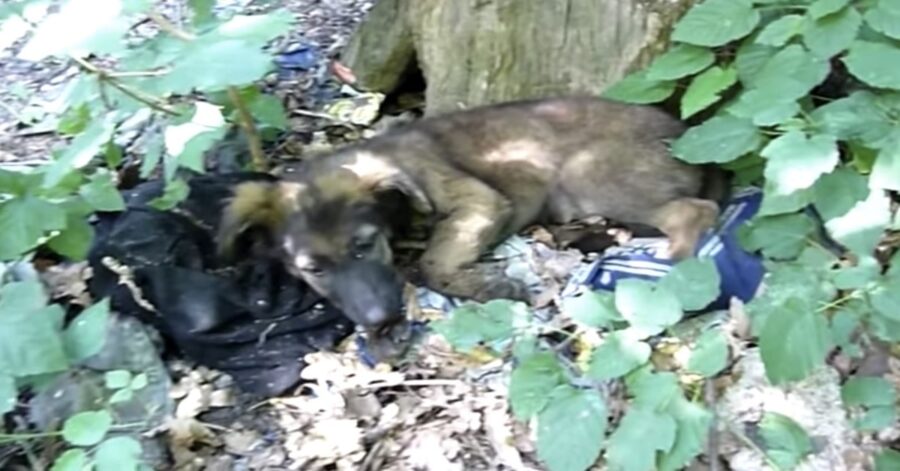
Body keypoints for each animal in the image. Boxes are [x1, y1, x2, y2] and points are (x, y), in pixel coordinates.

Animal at [220, 97, 732, 350]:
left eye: (364, 246)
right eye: (315, 269)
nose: (381, 319)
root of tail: (682, 134)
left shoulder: (479, 199)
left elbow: (432, 263)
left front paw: (491, 287)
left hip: (591, 173)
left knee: (694, 212)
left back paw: (670, 278)